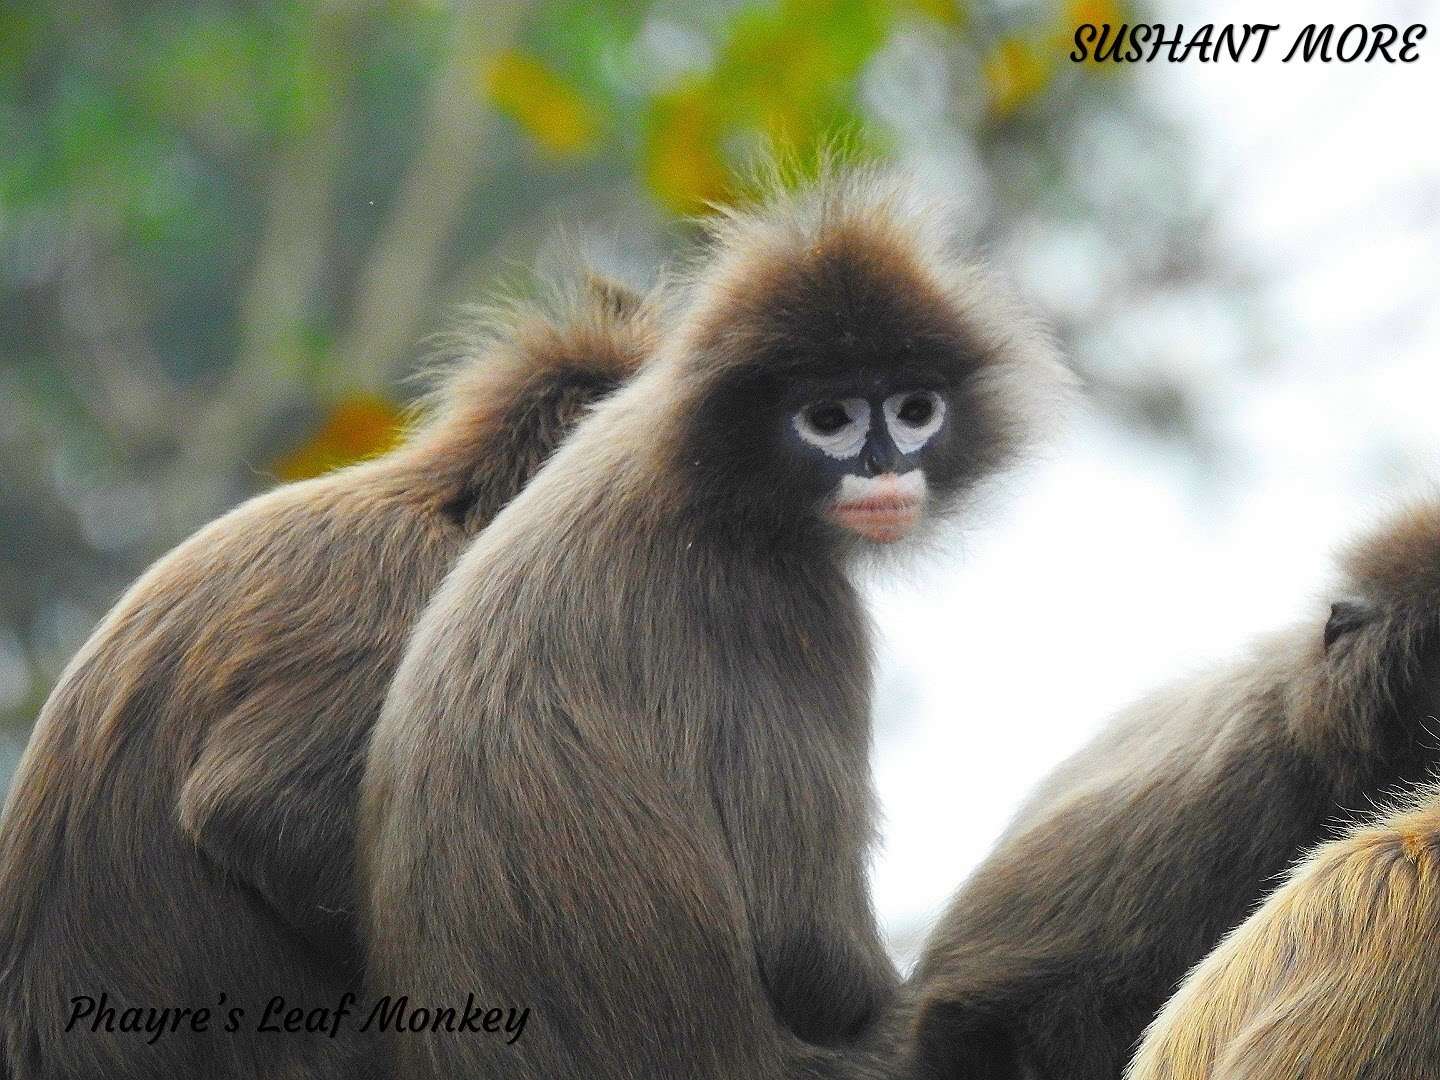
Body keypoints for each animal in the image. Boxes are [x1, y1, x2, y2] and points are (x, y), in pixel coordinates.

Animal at [360, 167, 1071, 1080]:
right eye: (829, 419)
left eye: (915, 409)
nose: (883, 468)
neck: (693, 471)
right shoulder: (785, 605)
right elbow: (806, 943)